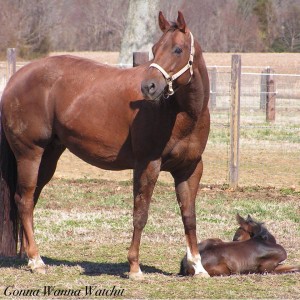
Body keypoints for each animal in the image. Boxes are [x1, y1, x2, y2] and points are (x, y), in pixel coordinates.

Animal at [0, 11, 211, 278]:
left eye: (177, 49)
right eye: (154, 49)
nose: (149, 87)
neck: (181, 113)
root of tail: (16, 78)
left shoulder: (190, 169)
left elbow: (189, 216)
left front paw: (198, 266)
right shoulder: (148, 165)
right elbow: (140, 214)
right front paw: (134, 267)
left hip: (48, 157)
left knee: (30, 199)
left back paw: (29, 256)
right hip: (30, 154)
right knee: (24, 201)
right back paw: (36, 260)